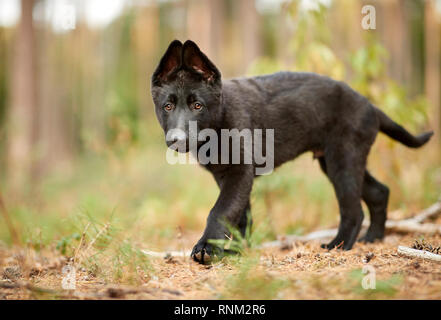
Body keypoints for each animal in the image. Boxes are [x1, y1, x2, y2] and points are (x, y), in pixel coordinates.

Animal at [150, 39, 432, 264]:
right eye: (167, 107)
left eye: (197, 105)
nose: (176, 140)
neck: (218, 121)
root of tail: (370, 106)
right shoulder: (227, 176)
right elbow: (240, 216)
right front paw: (237, 251)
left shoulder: (240, 172)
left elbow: (220, 211)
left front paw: (207, 249)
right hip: (339, 160)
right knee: (379, 192)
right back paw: (373, 238)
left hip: (343, 159)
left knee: (353, 210)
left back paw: (338, 246)